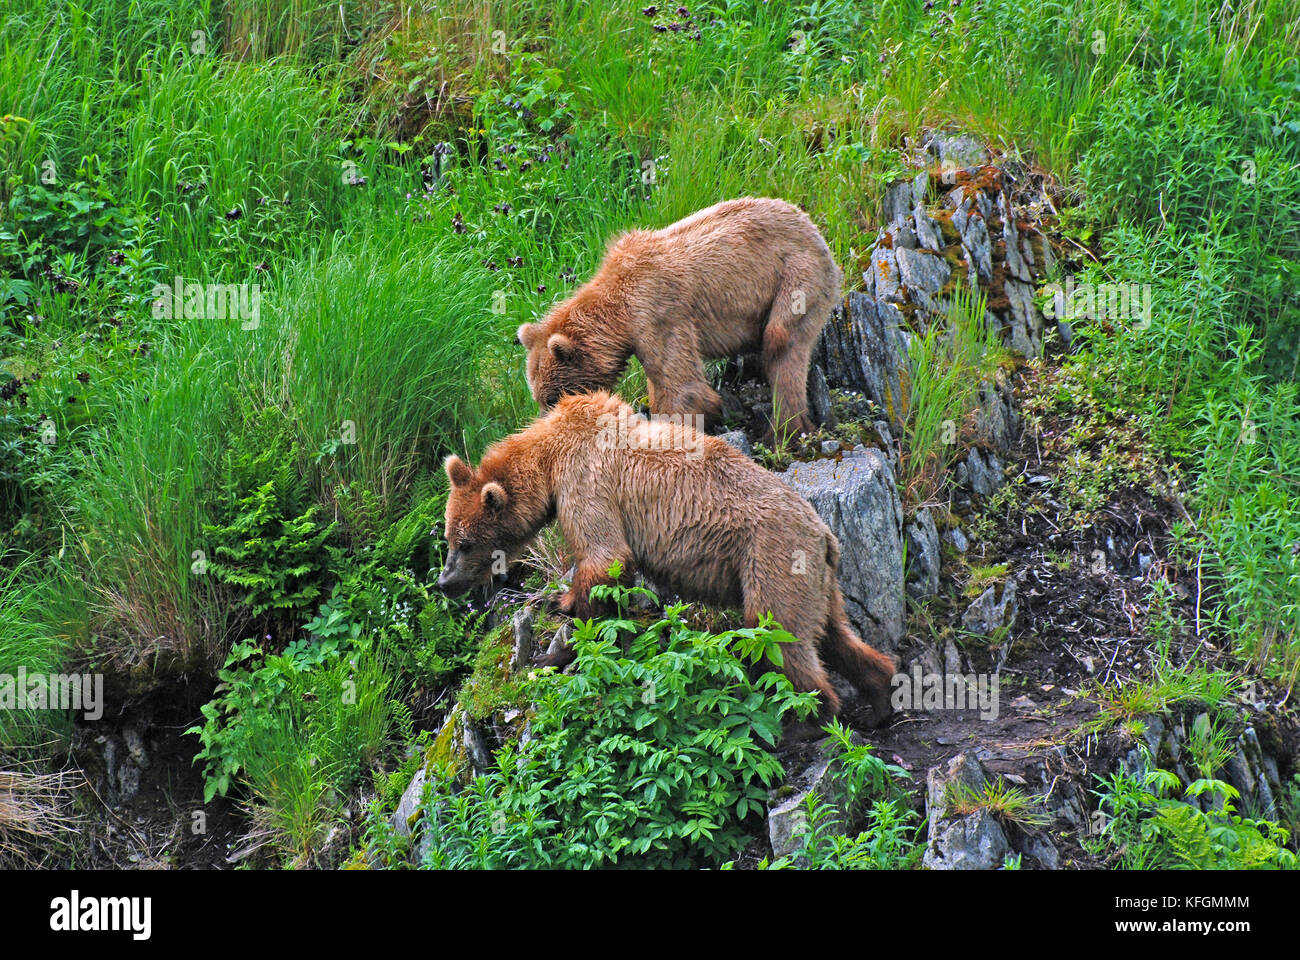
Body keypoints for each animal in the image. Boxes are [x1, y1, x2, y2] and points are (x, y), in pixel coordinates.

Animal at [434, 392, 894, 723]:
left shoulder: (585, 481)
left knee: (775, 633)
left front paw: (556, 642)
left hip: (771, 555)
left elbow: (604, 557)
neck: (548, 457)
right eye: (448, 537)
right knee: (833, 632)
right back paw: (880, 698)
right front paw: (561, 611)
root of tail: (823, 534)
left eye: (465, 543)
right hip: (816, 579)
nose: (444, 583)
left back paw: (805, 720)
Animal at [517, 199, 842, 444]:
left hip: (797, 278)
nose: (545, 421)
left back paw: (785, 430)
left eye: (551, 398)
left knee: (783, 345)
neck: (618, 313)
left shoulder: (659, 312)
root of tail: (813, 227)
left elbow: (683, 386)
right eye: (539, 397)